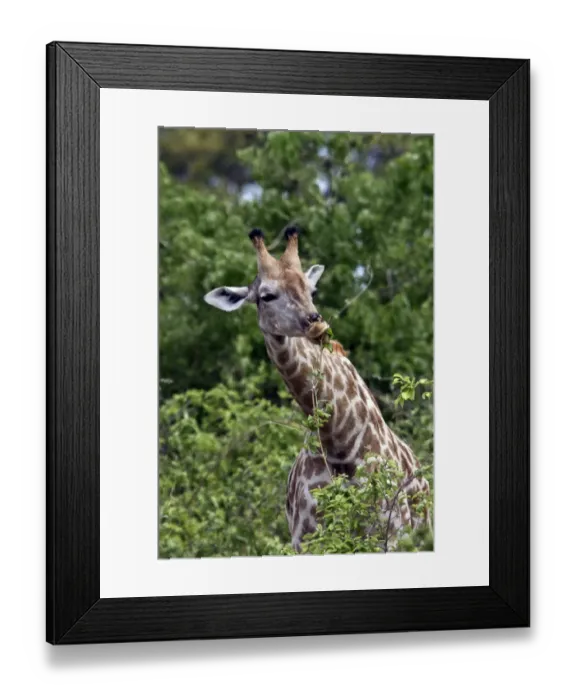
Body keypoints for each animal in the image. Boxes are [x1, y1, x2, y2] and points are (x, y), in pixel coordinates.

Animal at [204, 227, 431, 552]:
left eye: (311, 291)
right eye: (266, 296)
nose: (317, 325)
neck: (340, 443)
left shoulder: (390, 533)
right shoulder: (306, 540)